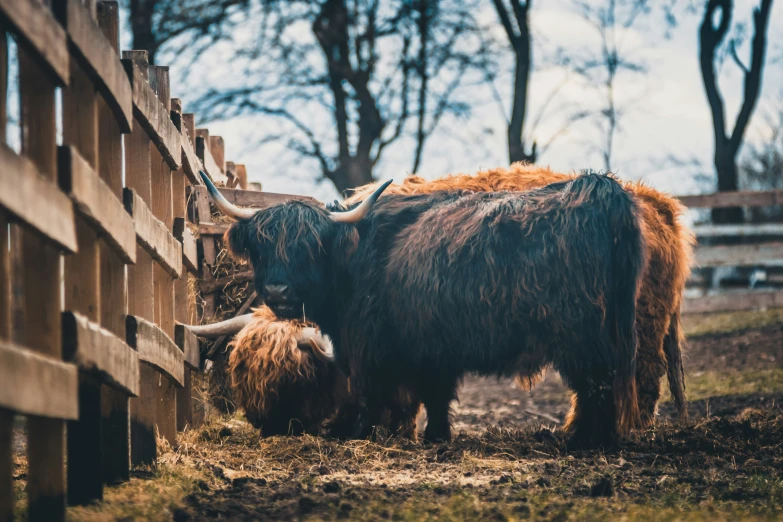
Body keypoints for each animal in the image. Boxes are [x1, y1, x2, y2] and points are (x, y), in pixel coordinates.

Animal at [199, 169, 648, 444]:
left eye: (310, 247)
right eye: (261, 246)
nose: (276, 290)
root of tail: (599, 188)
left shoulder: (370, 344)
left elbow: (371, 391)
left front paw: (359, 432)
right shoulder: (431, 344)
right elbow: (435, 393)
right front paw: (435, 435)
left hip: (581, 332)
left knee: (596, 384)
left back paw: (587, 440)